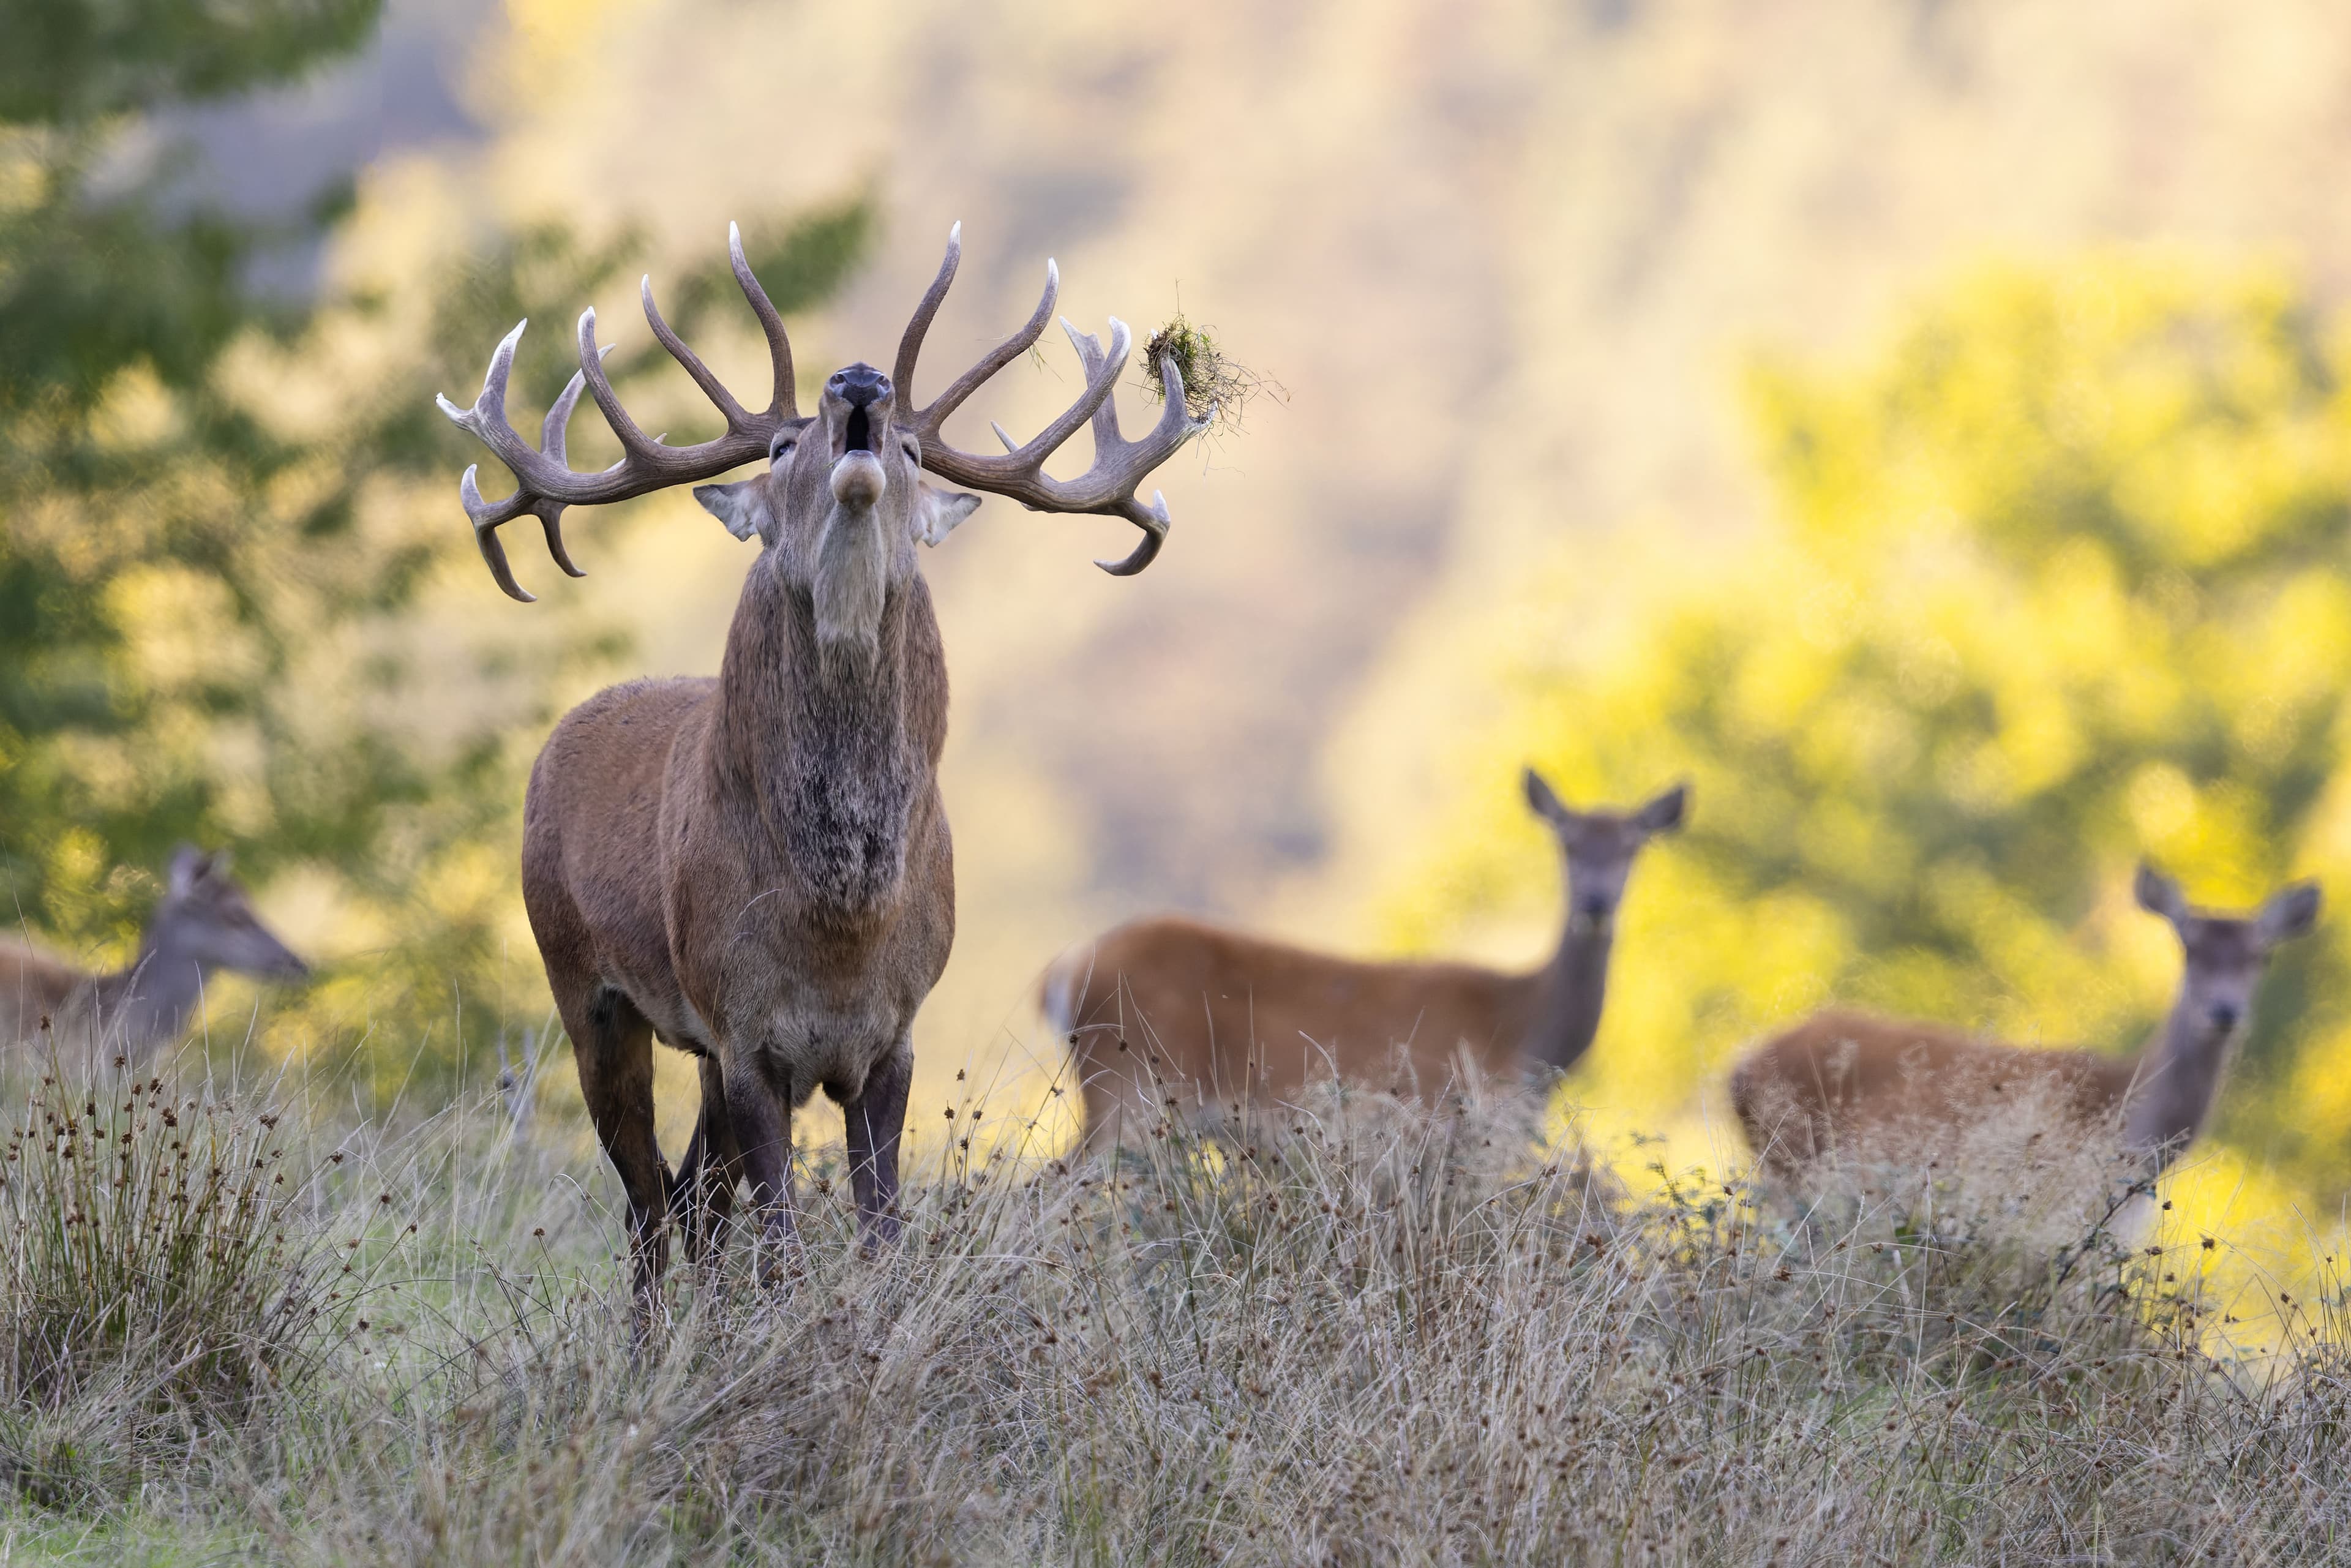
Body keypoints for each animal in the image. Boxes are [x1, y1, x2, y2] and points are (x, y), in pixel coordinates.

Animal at [437, 223, 1206, 1303]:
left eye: (916, 448)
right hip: (584, 986)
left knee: (691, 1200)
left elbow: (879, 1239)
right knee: (648, 1206)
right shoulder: (744, 1027)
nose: (859, 387)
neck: (839, 926)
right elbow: (782, 1251)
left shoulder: (892, 1035)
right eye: (777, 446)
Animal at [1041, 770, 1687, 1148]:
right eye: (1567, 843)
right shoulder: (1449, 1119)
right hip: (1132, 1084)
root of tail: (1064, 971)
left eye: (1634, 846)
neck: (1522, 1027)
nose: (1597, 901)